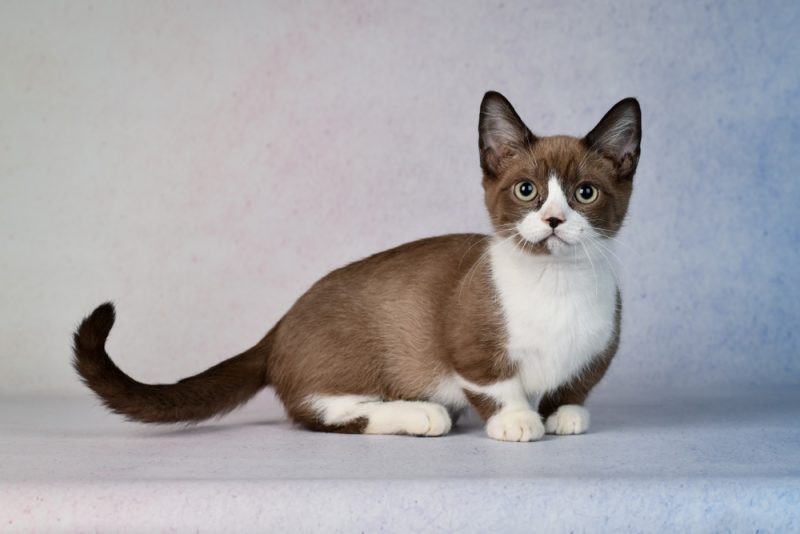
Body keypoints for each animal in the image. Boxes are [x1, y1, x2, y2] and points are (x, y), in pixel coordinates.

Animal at [72, 92, 640, 444]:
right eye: (527, 190)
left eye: (584, 193)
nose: (552, 220)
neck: (557, 283)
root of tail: (279, 325)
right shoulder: (469, 346)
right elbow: (496, 385)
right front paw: (520, 420)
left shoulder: (600, 347)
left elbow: (575, 384)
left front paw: (565, 413)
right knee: (321, 412)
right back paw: (423, 413)